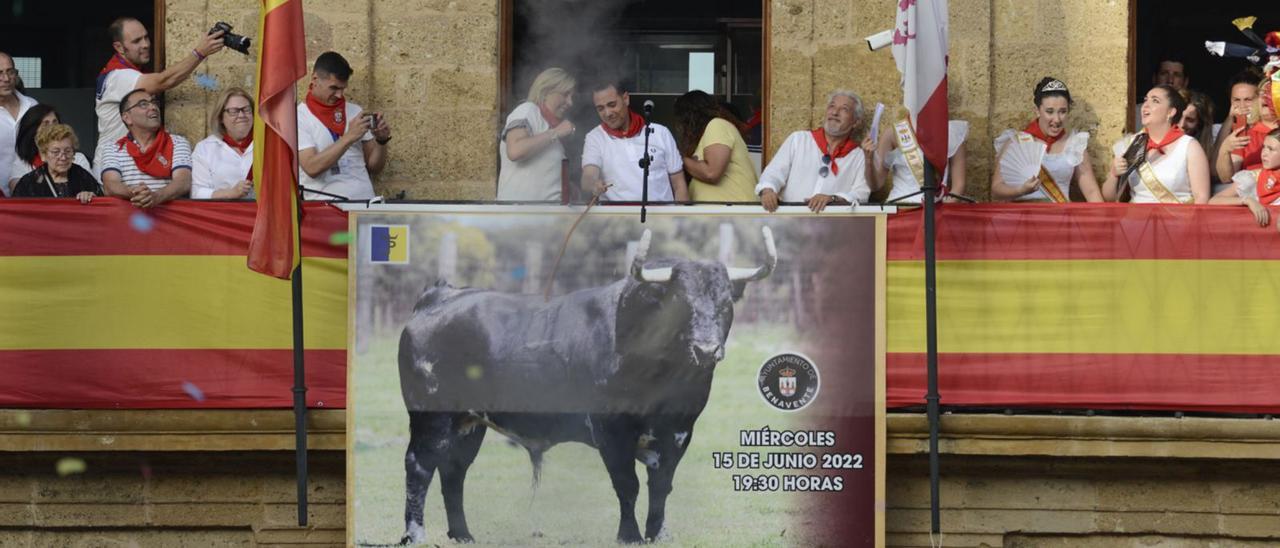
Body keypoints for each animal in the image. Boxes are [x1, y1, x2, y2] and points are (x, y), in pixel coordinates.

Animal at [394, 226, 773, 542]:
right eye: (679, 302)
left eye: (726, 303)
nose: (707, 349)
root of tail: (440, 297)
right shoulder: (612, 430)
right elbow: (628, 485)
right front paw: (630, 536)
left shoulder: (679, 432)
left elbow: (661, 486)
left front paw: (659, 534)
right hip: (431, 417)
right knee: (419, 466)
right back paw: (416, 534)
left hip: (469, 423)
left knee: (454, 471)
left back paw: (463, 535)